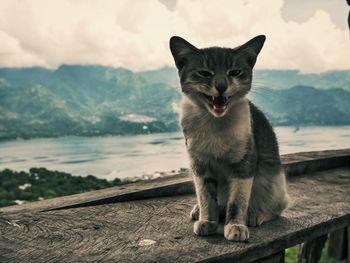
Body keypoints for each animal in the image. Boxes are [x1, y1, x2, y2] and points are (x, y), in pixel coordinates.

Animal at [168, 35, 288, 243]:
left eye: (235, 72)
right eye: (204, 73)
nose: (222, 86)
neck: (214, 123)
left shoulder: (244, 163)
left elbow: (237, 200)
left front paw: (236, 226)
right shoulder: (199, 164)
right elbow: (206, 197)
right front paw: (207, 220)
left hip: (273, 180)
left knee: (275, 208)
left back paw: (254, 214)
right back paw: (199, 210)